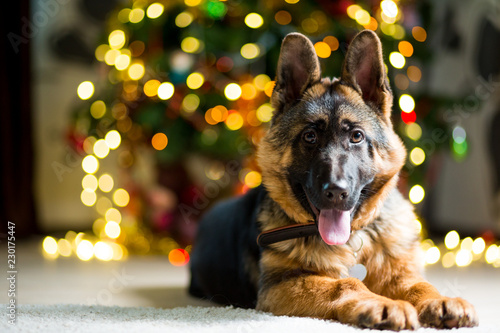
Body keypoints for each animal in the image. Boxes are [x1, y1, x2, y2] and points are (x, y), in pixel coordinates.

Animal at [189, 30, 478, 330]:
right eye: (309, 137)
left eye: (356, 136)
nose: (336, 192)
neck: (353, 240)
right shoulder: (280, 285)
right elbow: (345, 284)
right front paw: (382, 303)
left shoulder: (400, 274)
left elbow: (418, 285)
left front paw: (440, 299)